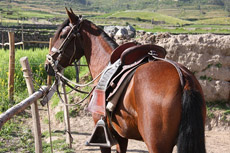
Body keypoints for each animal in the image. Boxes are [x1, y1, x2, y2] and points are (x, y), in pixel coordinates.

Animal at [45, 8, 207, 152]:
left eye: (62, 35)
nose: (48, 65)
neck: (105, 64)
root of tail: (183, 78)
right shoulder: (121, 136)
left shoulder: (103, 137)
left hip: (157, 145)